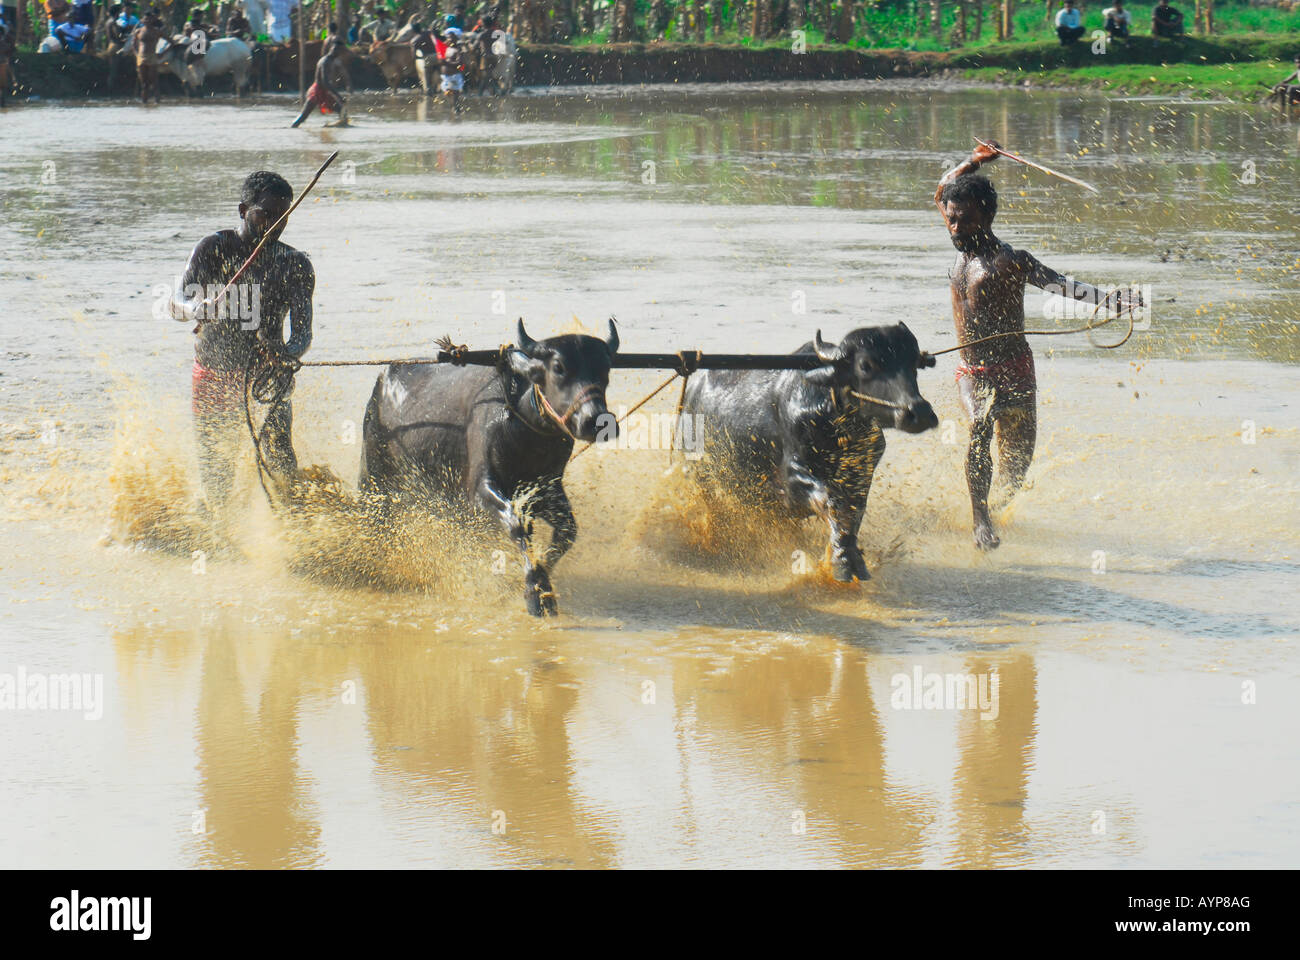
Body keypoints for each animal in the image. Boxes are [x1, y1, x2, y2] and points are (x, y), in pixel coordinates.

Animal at [359, 320, 619, 617]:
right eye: (559, 367)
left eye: (605, 368)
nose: (596, 421)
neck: (523, 426)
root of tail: (383, 381)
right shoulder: (481, 490)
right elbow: (517, 524)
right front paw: (535, 592)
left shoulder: (547, 490)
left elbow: (567, 532)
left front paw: (531, 582)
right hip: (374, 479)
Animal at [680, 324, 939, 583]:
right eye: (866, 365)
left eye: (913, 363)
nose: (919, 412)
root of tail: (691, 395)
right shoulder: (792, 479)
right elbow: (829, 501)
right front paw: (842, 561)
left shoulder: (861, 475)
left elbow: (853, 512)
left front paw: (849, 556)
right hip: (701, 476)